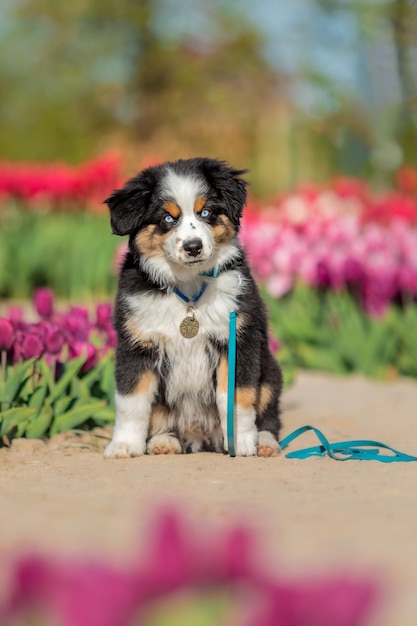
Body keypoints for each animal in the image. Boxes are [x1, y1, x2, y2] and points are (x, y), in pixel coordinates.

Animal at [102, 158, 282, 456]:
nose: (193, 247)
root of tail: (200, 433)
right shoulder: (136, 344)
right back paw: (164, 442)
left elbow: (237, 397)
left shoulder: (238, 340)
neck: (188, 288)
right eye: (167, 218)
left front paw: (241, 441)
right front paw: (124, 445)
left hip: (269, 372)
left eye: (206, 212)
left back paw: (265, 443)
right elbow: (131, 401)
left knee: (269, 416)